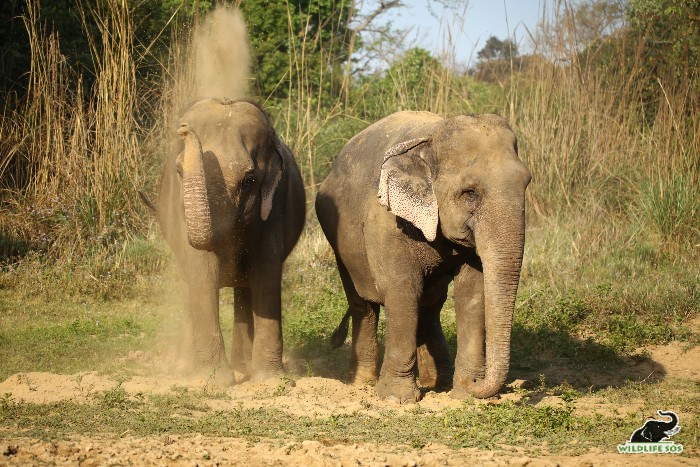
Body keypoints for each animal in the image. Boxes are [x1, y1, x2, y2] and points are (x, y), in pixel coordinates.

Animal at [150, 98, 304, 384]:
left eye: (249, 180)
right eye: (179, 171)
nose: (184, 129)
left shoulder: (273, 210)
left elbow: (266, 274)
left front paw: (271, 382)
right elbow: (202, 273)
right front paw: (212, 382)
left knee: (244, 291)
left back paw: (244, 368)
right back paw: (183, 369)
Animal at [318, 109, 532, 402]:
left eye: (526, 183)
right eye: (470, 193)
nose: (476, 383)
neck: (430, 140)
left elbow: (472, 293)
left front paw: (465, 394)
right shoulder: (388, 223)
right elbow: (402, 289)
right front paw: (395, 398)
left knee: (429, 306)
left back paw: (436, 382)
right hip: (341, 243)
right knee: (363, 303)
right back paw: (362, 382)